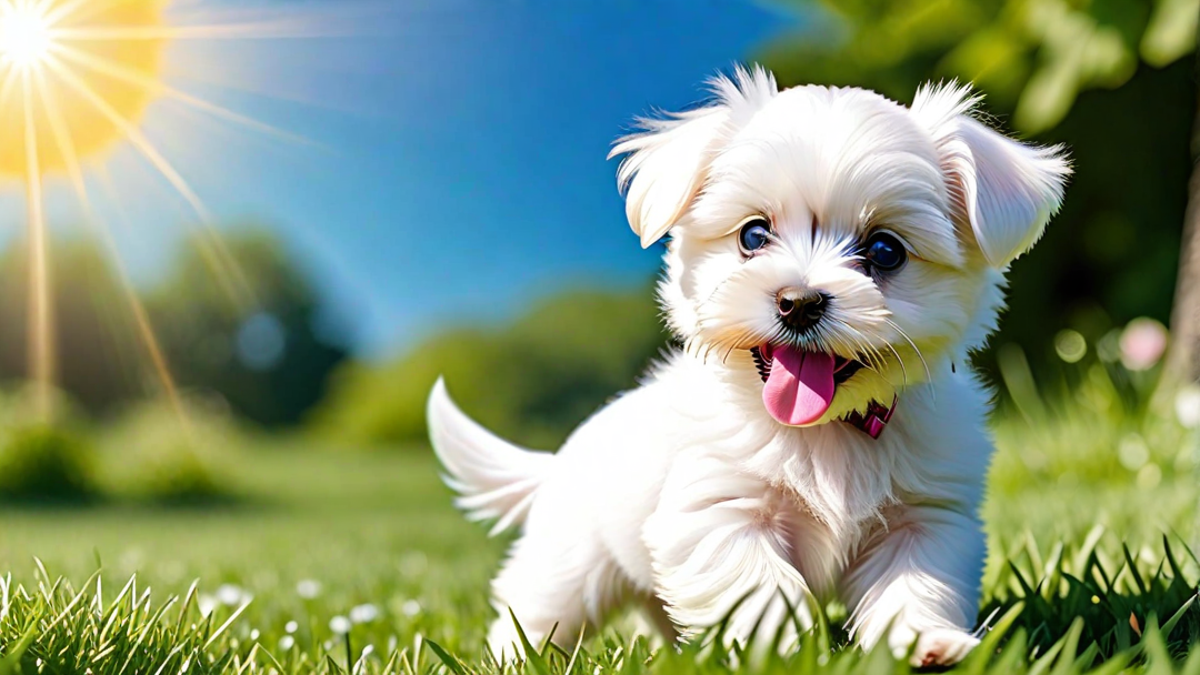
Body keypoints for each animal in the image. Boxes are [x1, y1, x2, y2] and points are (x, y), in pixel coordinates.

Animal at [424, 65, 1070, 662]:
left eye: (886, 250)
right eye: (754, 236)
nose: (799, 301)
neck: (824, 432)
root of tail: (560, 460)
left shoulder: (926, 520)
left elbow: (913, 588)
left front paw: (926, 643)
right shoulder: (715, 510)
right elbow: (761, 589)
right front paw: (782, 652)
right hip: (569, 564)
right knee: (534, 612)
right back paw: (515, 657)